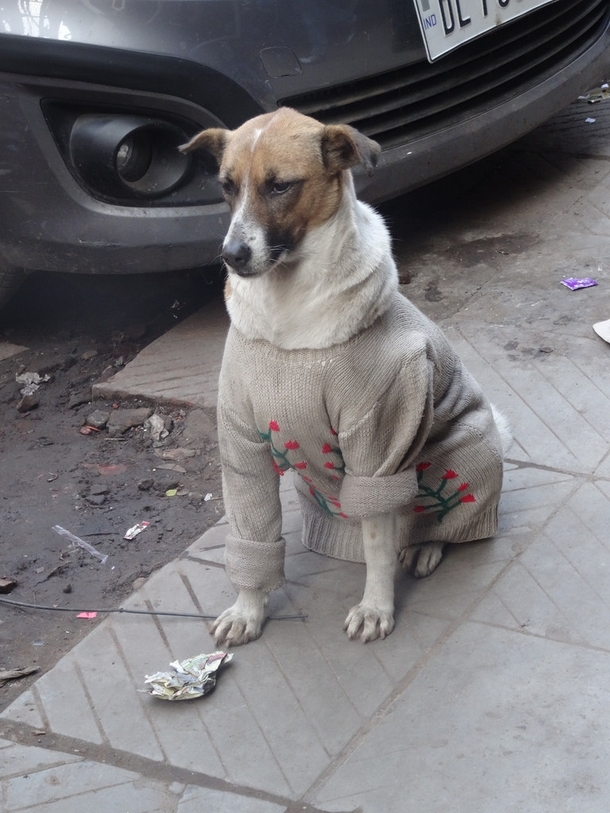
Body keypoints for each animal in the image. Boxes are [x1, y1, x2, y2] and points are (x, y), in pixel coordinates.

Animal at [179, 111, 508, 652]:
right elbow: (252, 536)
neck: (290, 322)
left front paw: (376, 607)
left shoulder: (378, 449)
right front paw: (248, 609)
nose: (231, 255)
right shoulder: (243, 448)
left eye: (280, 185)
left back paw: (427, 546)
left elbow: (378, 547)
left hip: (468, 446)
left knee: (443, 519)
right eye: (226, 186)